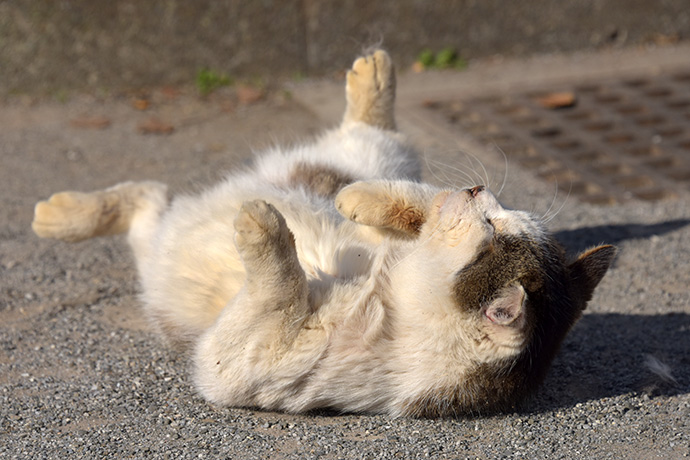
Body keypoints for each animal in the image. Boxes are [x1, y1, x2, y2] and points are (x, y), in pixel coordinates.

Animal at [30, 50, 612, 416]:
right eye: (499, 214)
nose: (478, 189)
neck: (393, 290)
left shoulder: (241, 365)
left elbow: (278, 289)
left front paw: (263, 227)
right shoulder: (402, 231)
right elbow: (418, 202)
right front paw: (363, 201)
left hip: (157, 257)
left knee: (147, 199)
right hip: (354, 158)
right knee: (374, 143)